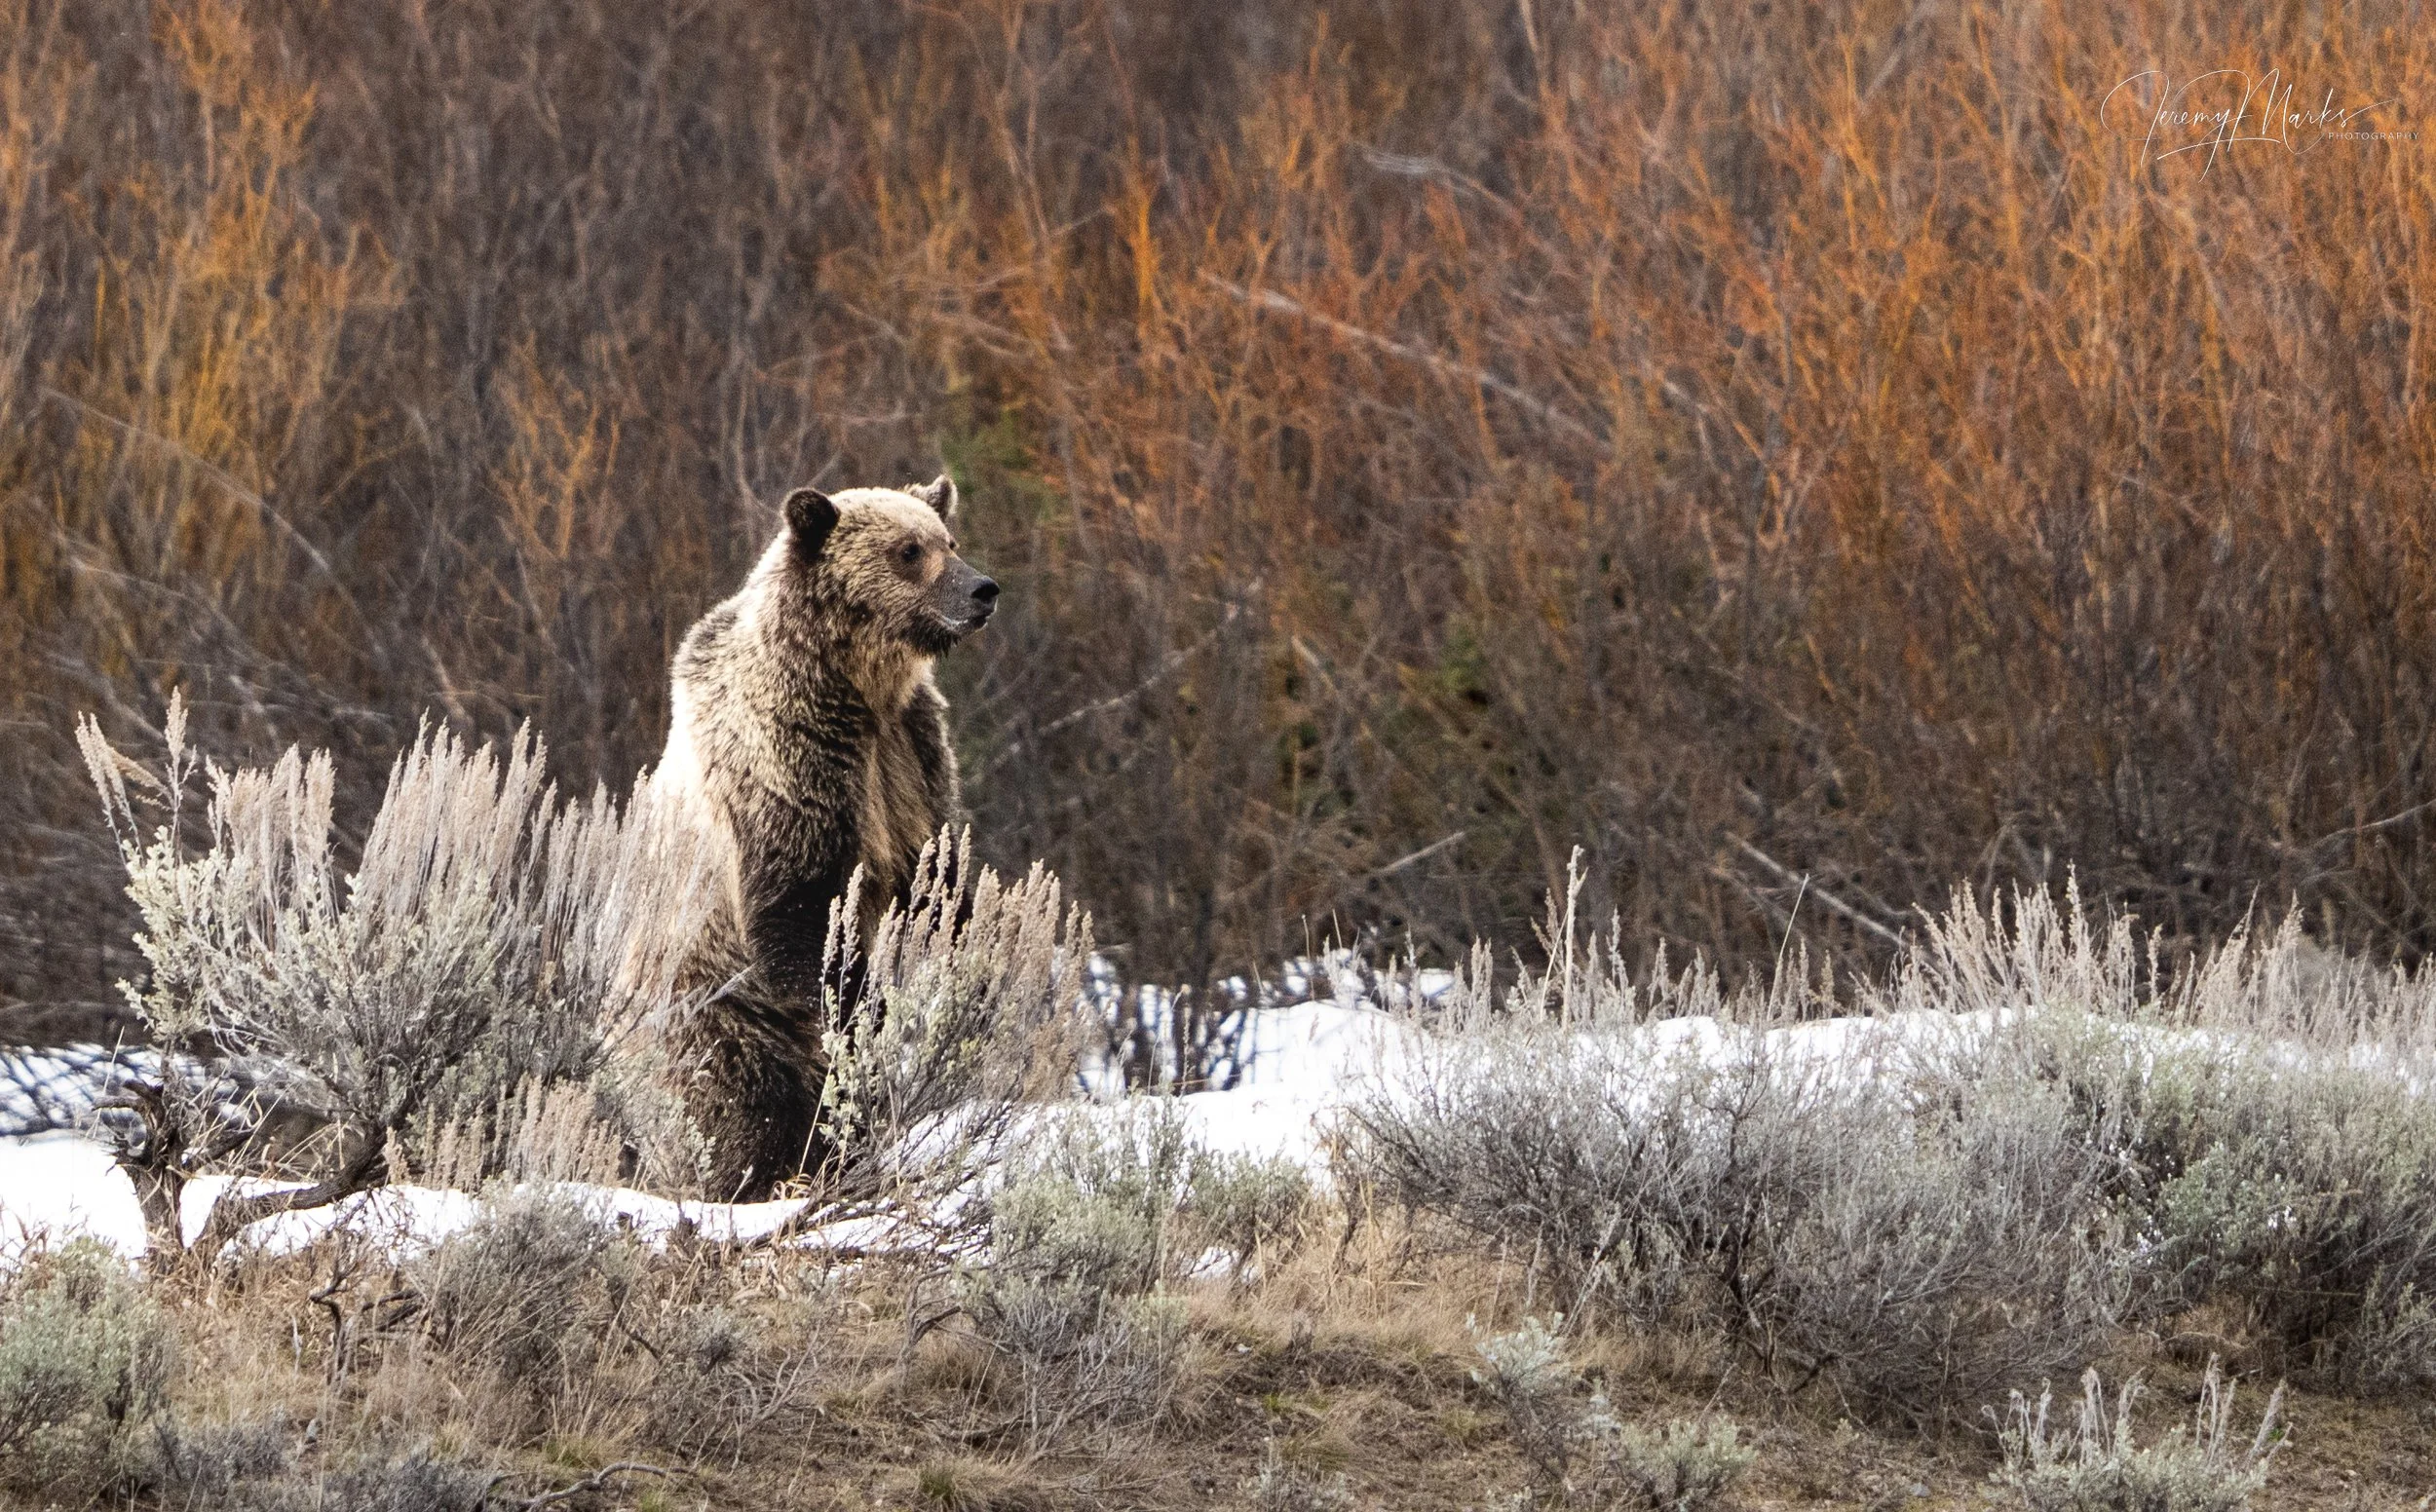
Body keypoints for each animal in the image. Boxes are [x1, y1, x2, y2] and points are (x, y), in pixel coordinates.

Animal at [654, 474, 997, 1198]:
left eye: (949, 540)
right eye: (908, 551)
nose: (982, 590)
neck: (857, 689)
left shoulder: (912, 760)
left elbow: (939, 882)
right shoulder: (791, 758)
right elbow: (802, 909)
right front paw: (868, 1006)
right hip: (720, 1015)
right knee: (744, 1106)